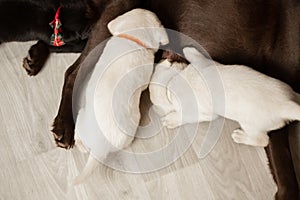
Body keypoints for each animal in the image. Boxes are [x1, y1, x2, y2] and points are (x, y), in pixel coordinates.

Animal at [154, 47, 298, 147]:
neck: (174, 79)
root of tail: (285, 105)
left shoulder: (204, 113)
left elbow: (186, 116)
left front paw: (171, 119)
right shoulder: (203, 63)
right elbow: (197, 56)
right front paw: (187, 49)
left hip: (250, 125)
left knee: (263, 140)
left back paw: (241, 137)